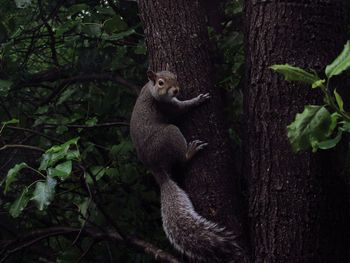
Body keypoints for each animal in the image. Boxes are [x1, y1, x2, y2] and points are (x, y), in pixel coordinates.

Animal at [129, 69, 243, 262]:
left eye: (174, 76)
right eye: (160, 82)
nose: (176, 90)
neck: (151, 92)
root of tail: (155, 168)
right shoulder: (167, 107)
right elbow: (183, 108)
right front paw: (198, 100)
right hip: (170, 134)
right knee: (182, 158)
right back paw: (190, 152)